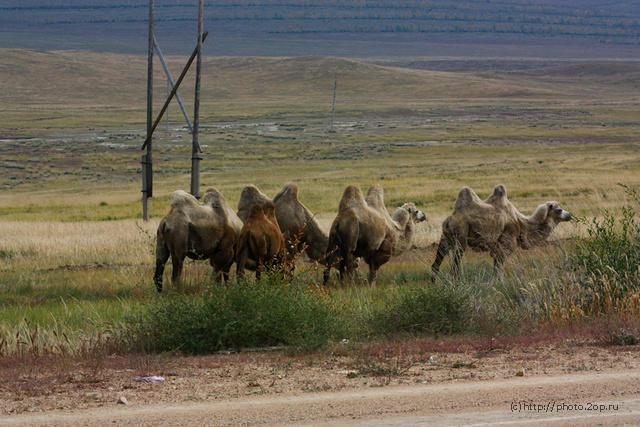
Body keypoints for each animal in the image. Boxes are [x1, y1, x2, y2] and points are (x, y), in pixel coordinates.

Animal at [432, 185, 572, 280]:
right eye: (559, 210)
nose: (569, 215)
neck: (522, 224)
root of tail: (450, 219)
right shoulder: (504, 245)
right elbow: (498, 271)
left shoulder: (497, 249)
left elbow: (496, 270)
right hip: (461, 233)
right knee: (455, 264)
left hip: (446, 235)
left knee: (437, 261)